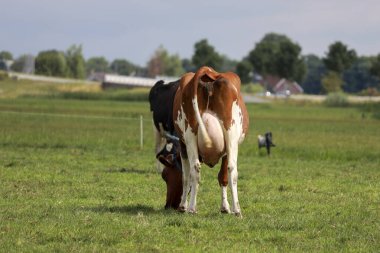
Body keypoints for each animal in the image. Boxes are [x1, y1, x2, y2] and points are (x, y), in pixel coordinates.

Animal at [173, 66, 249, 216]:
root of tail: (207, 71)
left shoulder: (182, 143)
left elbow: (186, 176)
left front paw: (183, 206)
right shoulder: (182, 143)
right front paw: (225, 207)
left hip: (192, 132)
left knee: (195, 168)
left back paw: (192, 208)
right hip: (230, 133)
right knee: (231, 168)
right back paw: (236, 210)